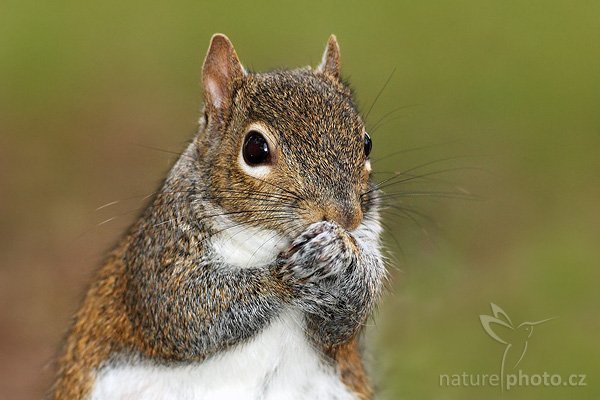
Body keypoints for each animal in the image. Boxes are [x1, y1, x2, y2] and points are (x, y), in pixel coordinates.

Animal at [49, 33, 386, 400]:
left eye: (367, 142)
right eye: (254, 149)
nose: (347, 217)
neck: (264, 234)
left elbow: (343, 322)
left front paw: (339, 255)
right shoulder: (161, 249)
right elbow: (181, 307)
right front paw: (282, 275)